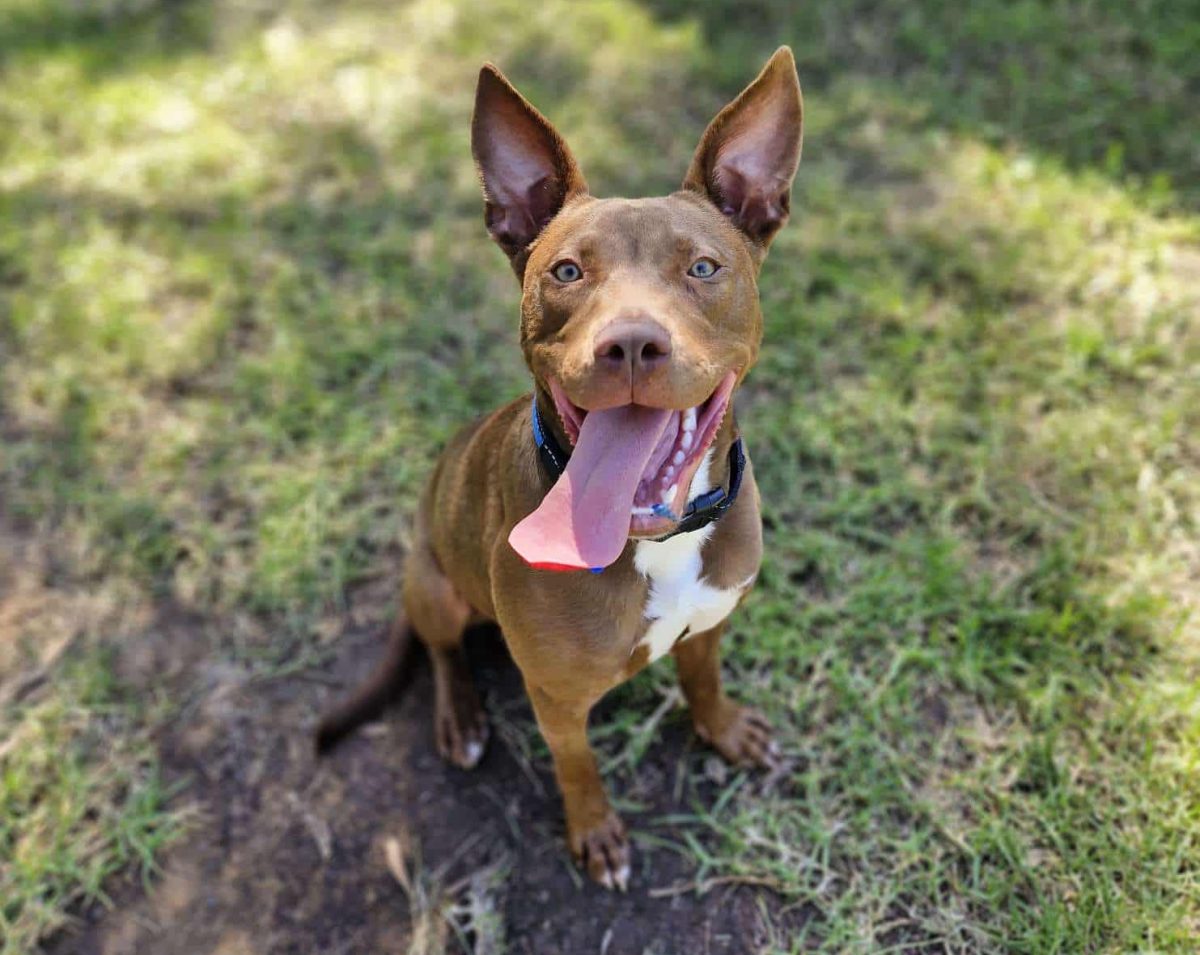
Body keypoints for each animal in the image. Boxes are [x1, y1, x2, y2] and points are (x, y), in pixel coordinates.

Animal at [324, 50, 801, 887]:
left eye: (703, 267)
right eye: (568, 272)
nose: (633, 343)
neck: (661, 540)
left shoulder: (711, 622)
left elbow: (703, 680)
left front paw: (722, 728)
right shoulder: (557, 696)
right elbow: (577, 766)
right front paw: (596, 832)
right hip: (434, 583)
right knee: (443, 649)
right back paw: (461, 715)